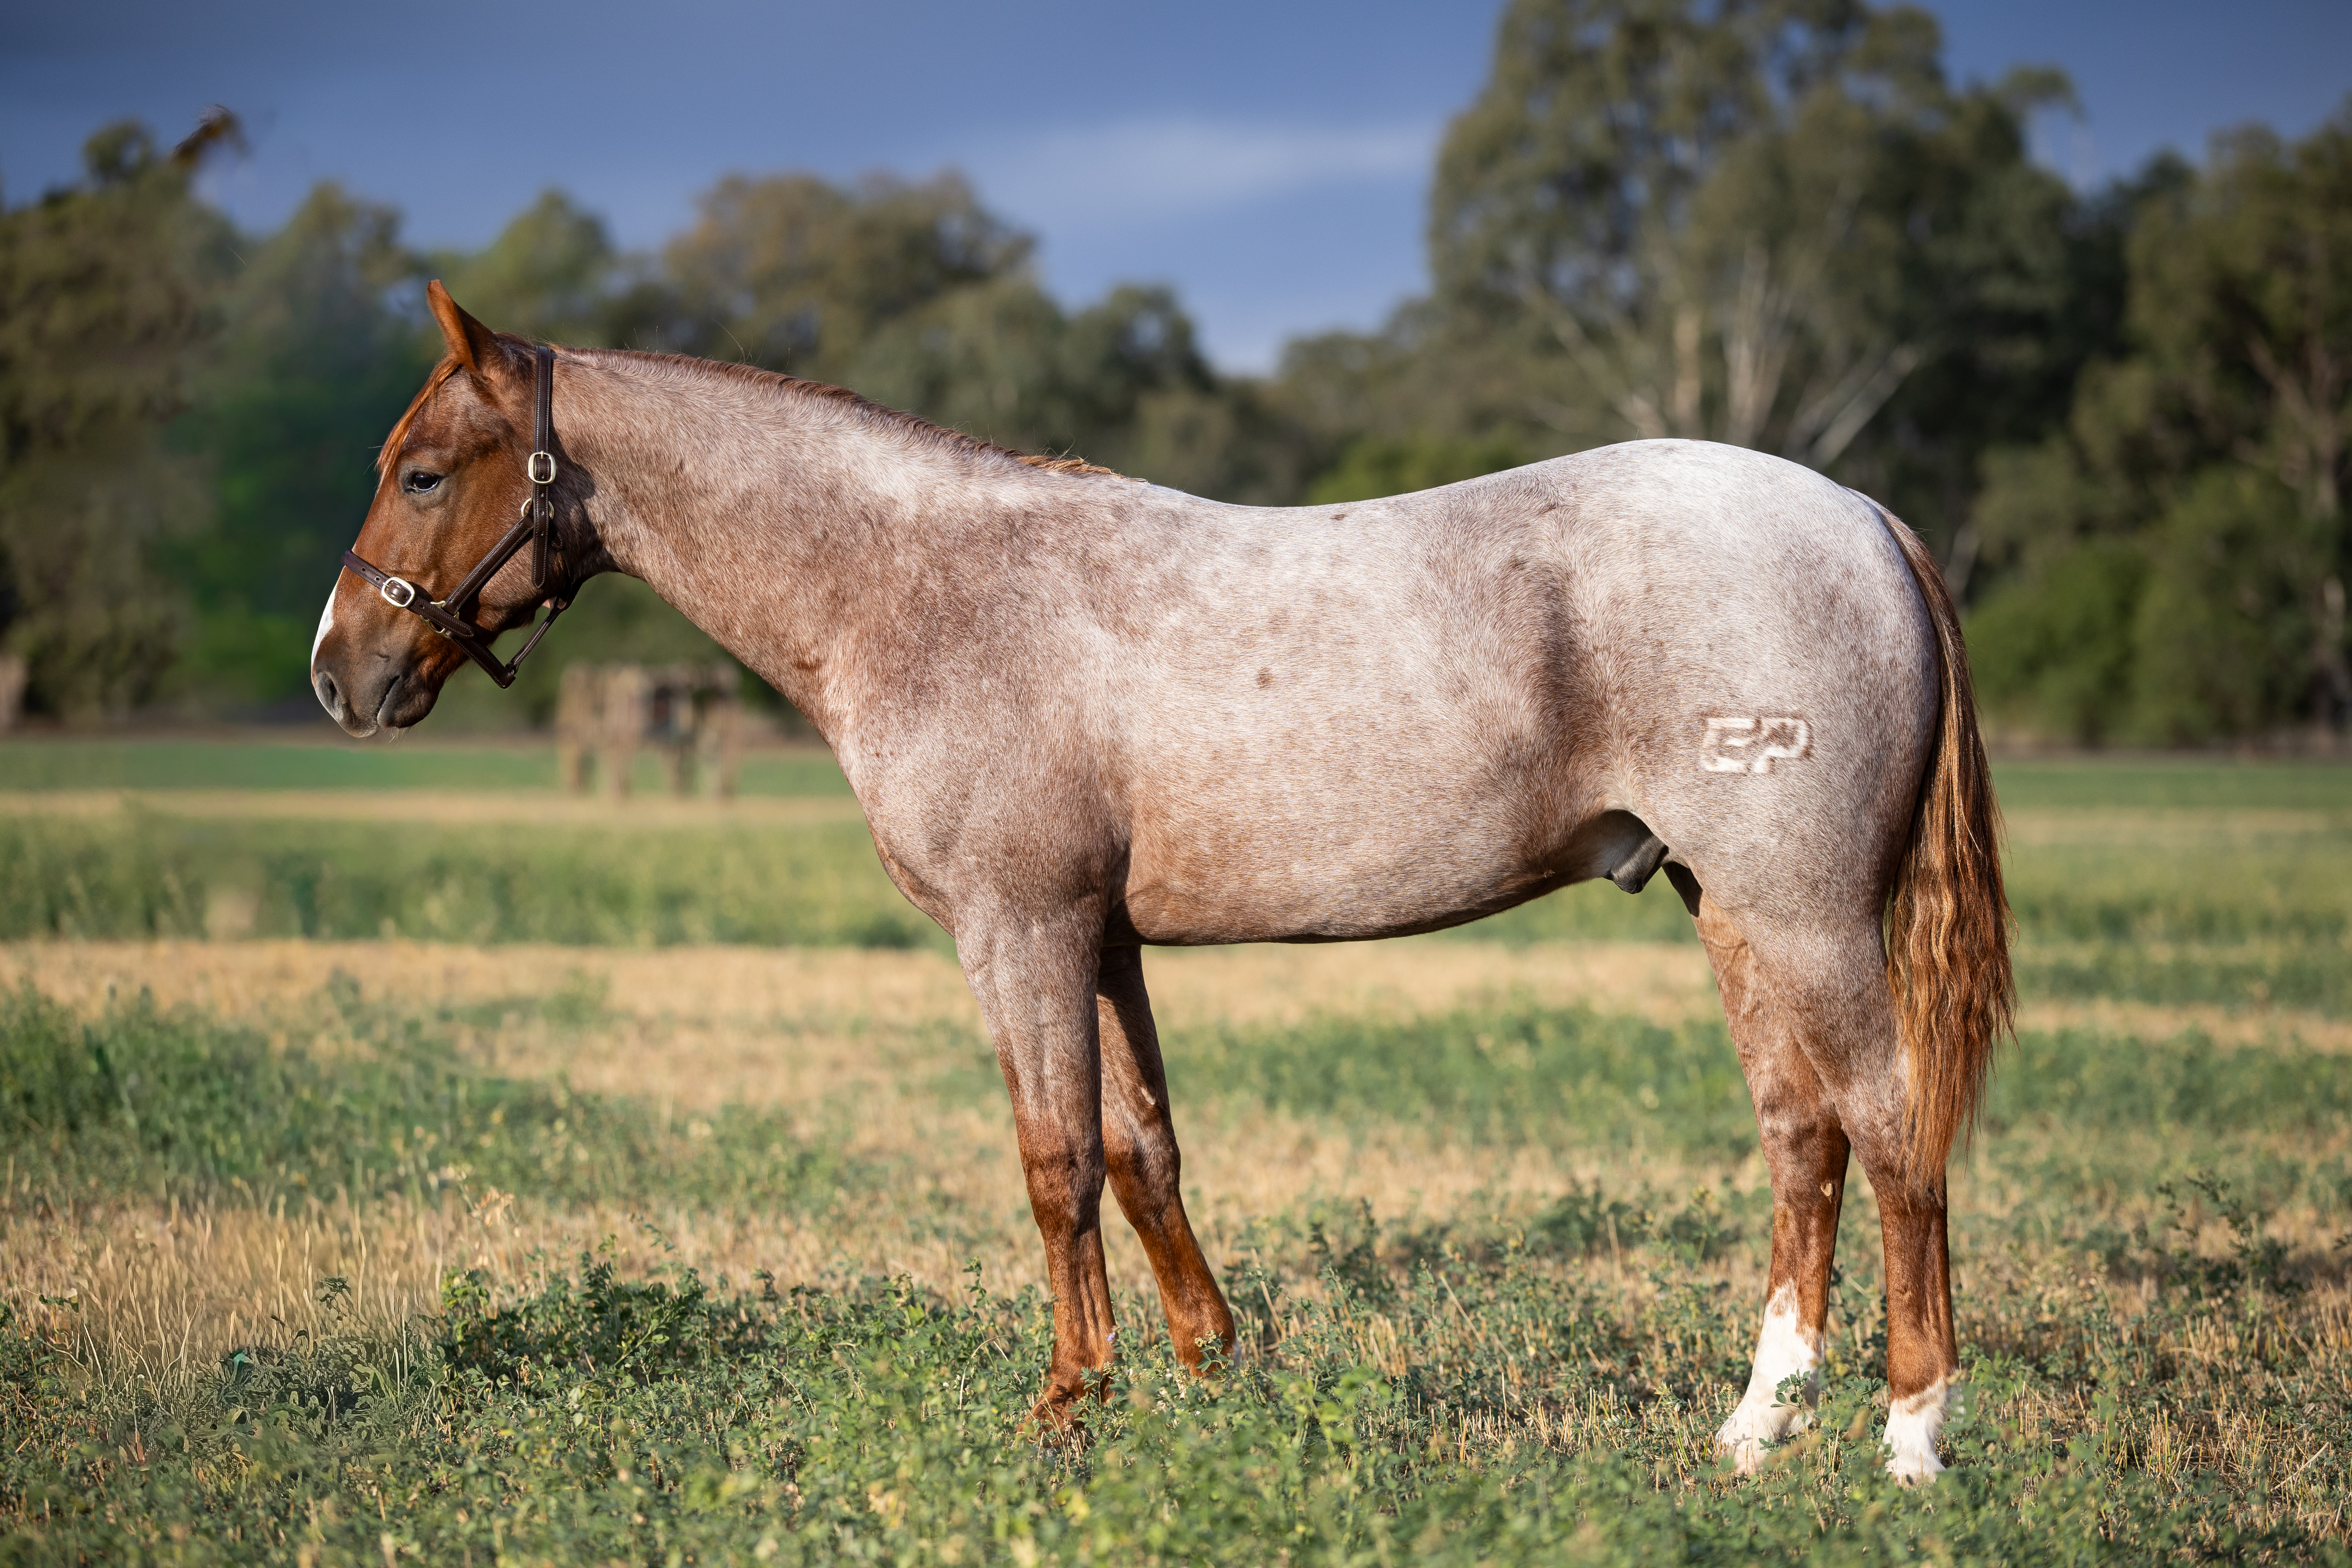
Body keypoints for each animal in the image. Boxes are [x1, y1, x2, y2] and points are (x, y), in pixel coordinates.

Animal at [313, 283, 2011, 1482]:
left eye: (423, 470)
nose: (340, 674)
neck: (916, 588)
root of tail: (1862, 516)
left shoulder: (1018, 931)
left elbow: (1055, 1160)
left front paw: (1070, 1403)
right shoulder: (1103, 940)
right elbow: (1143, 1153)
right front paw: (1214, 1374)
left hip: (1804, 919)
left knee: (1891, 1131)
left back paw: (1911, 1434)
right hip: (1730, 911)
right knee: (1802, 1139)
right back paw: (1757, 1425)